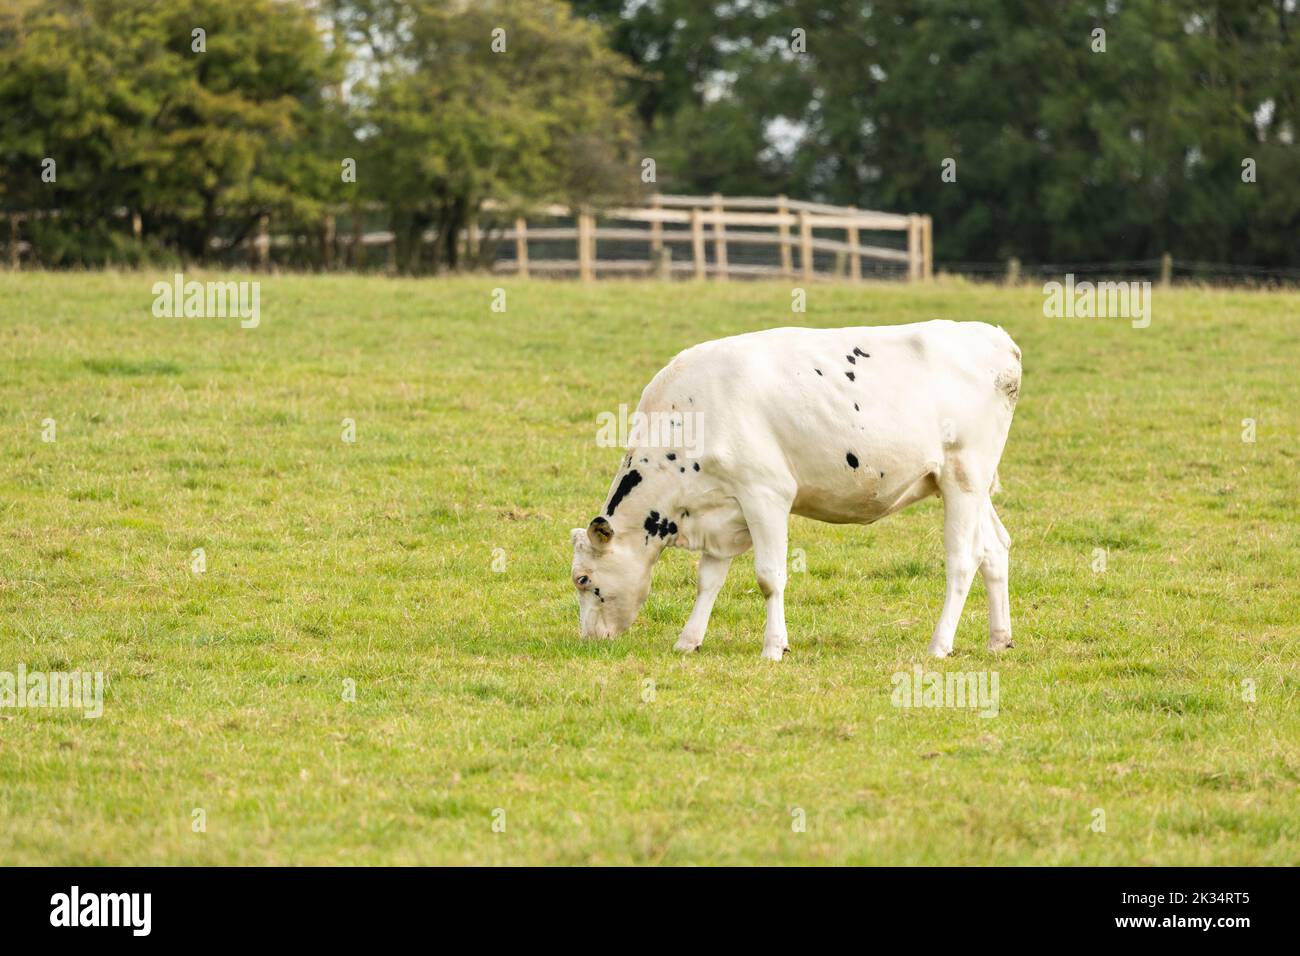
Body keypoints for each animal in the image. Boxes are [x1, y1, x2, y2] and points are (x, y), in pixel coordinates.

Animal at [569, 321, 1024, 658]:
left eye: (583, 579)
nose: (588, 639)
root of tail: (995, 337)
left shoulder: (765, 494)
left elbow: (769, 577)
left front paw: (774, 647)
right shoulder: (721, 508)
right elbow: (708, 579)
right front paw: (688, 640)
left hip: (963, 476)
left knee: (963, 559)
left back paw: (940, 644)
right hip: (969, 484)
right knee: (995, 548)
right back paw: (999, 639)